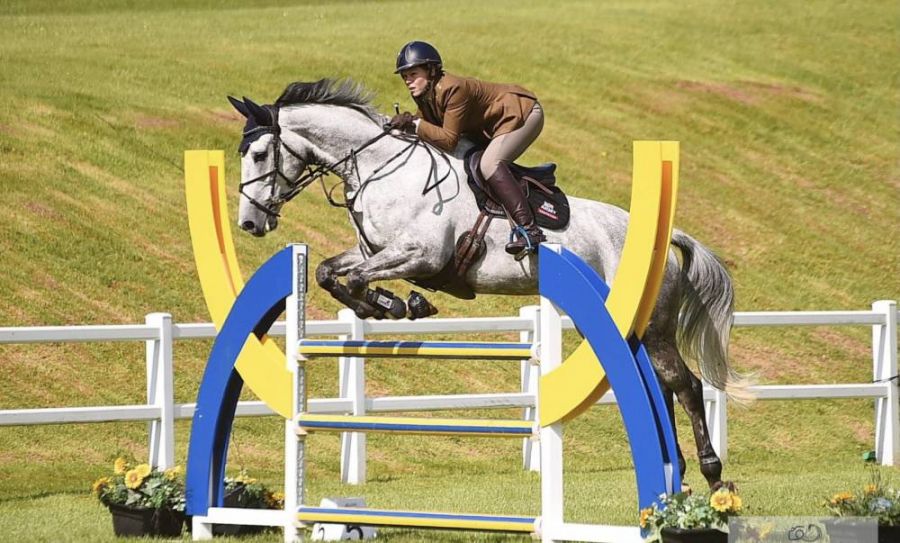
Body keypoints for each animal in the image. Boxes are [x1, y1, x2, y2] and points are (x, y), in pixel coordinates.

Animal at [227, 78, 747, 490]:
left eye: (260, 153)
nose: (250, 223)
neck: (380, 168)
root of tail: (663, 236)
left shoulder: (420, 254)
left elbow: (354, 278)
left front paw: (397, 305)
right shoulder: (378, 251)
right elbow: (329, 273)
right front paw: (388, 305)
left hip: (654, 327)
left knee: (685, 385)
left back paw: (711, 473)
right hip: (628, 327)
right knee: (660, 387)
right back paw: (677, 471)